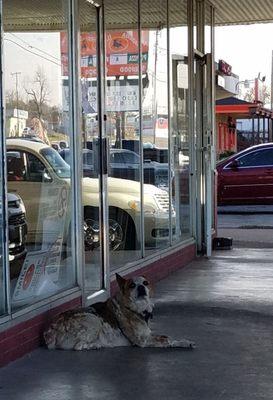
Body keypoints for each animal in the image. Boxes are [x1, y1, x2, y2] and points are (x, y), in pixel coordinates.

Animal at [43, 276, 194, 350]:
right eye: (132, 285)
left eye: (145, 283)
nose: (141, 287)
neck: (134, 308)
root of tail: (51, 331)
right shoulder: (143, 341)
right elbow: (167, 341)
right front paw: (182, 343)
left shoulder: (148, 334)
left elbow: (166, 336)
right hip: (93, 319)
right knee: (78, 346)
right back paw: (96, 345)